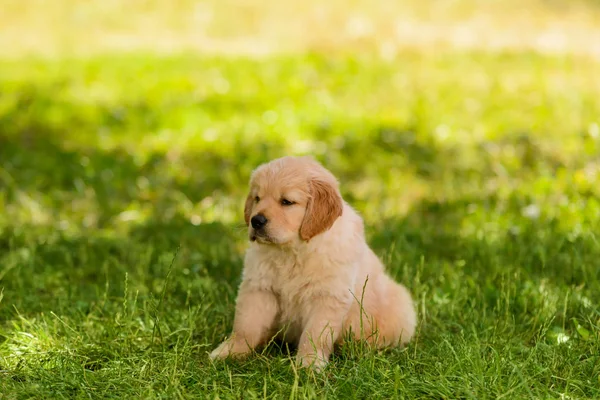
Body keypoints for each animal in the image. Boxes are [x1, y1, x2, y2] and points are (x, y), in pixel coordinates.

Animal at [211, 156, 418, 368]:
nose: (256, 221)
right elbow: (245, 326)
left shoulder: (327, 297)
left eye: (287, 202)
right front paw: (230, 352)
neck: (292, 252)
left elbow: (315, 334)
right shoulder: (259, 288)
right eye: (257, 198)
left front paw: (309, 364)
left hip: (400, 304)